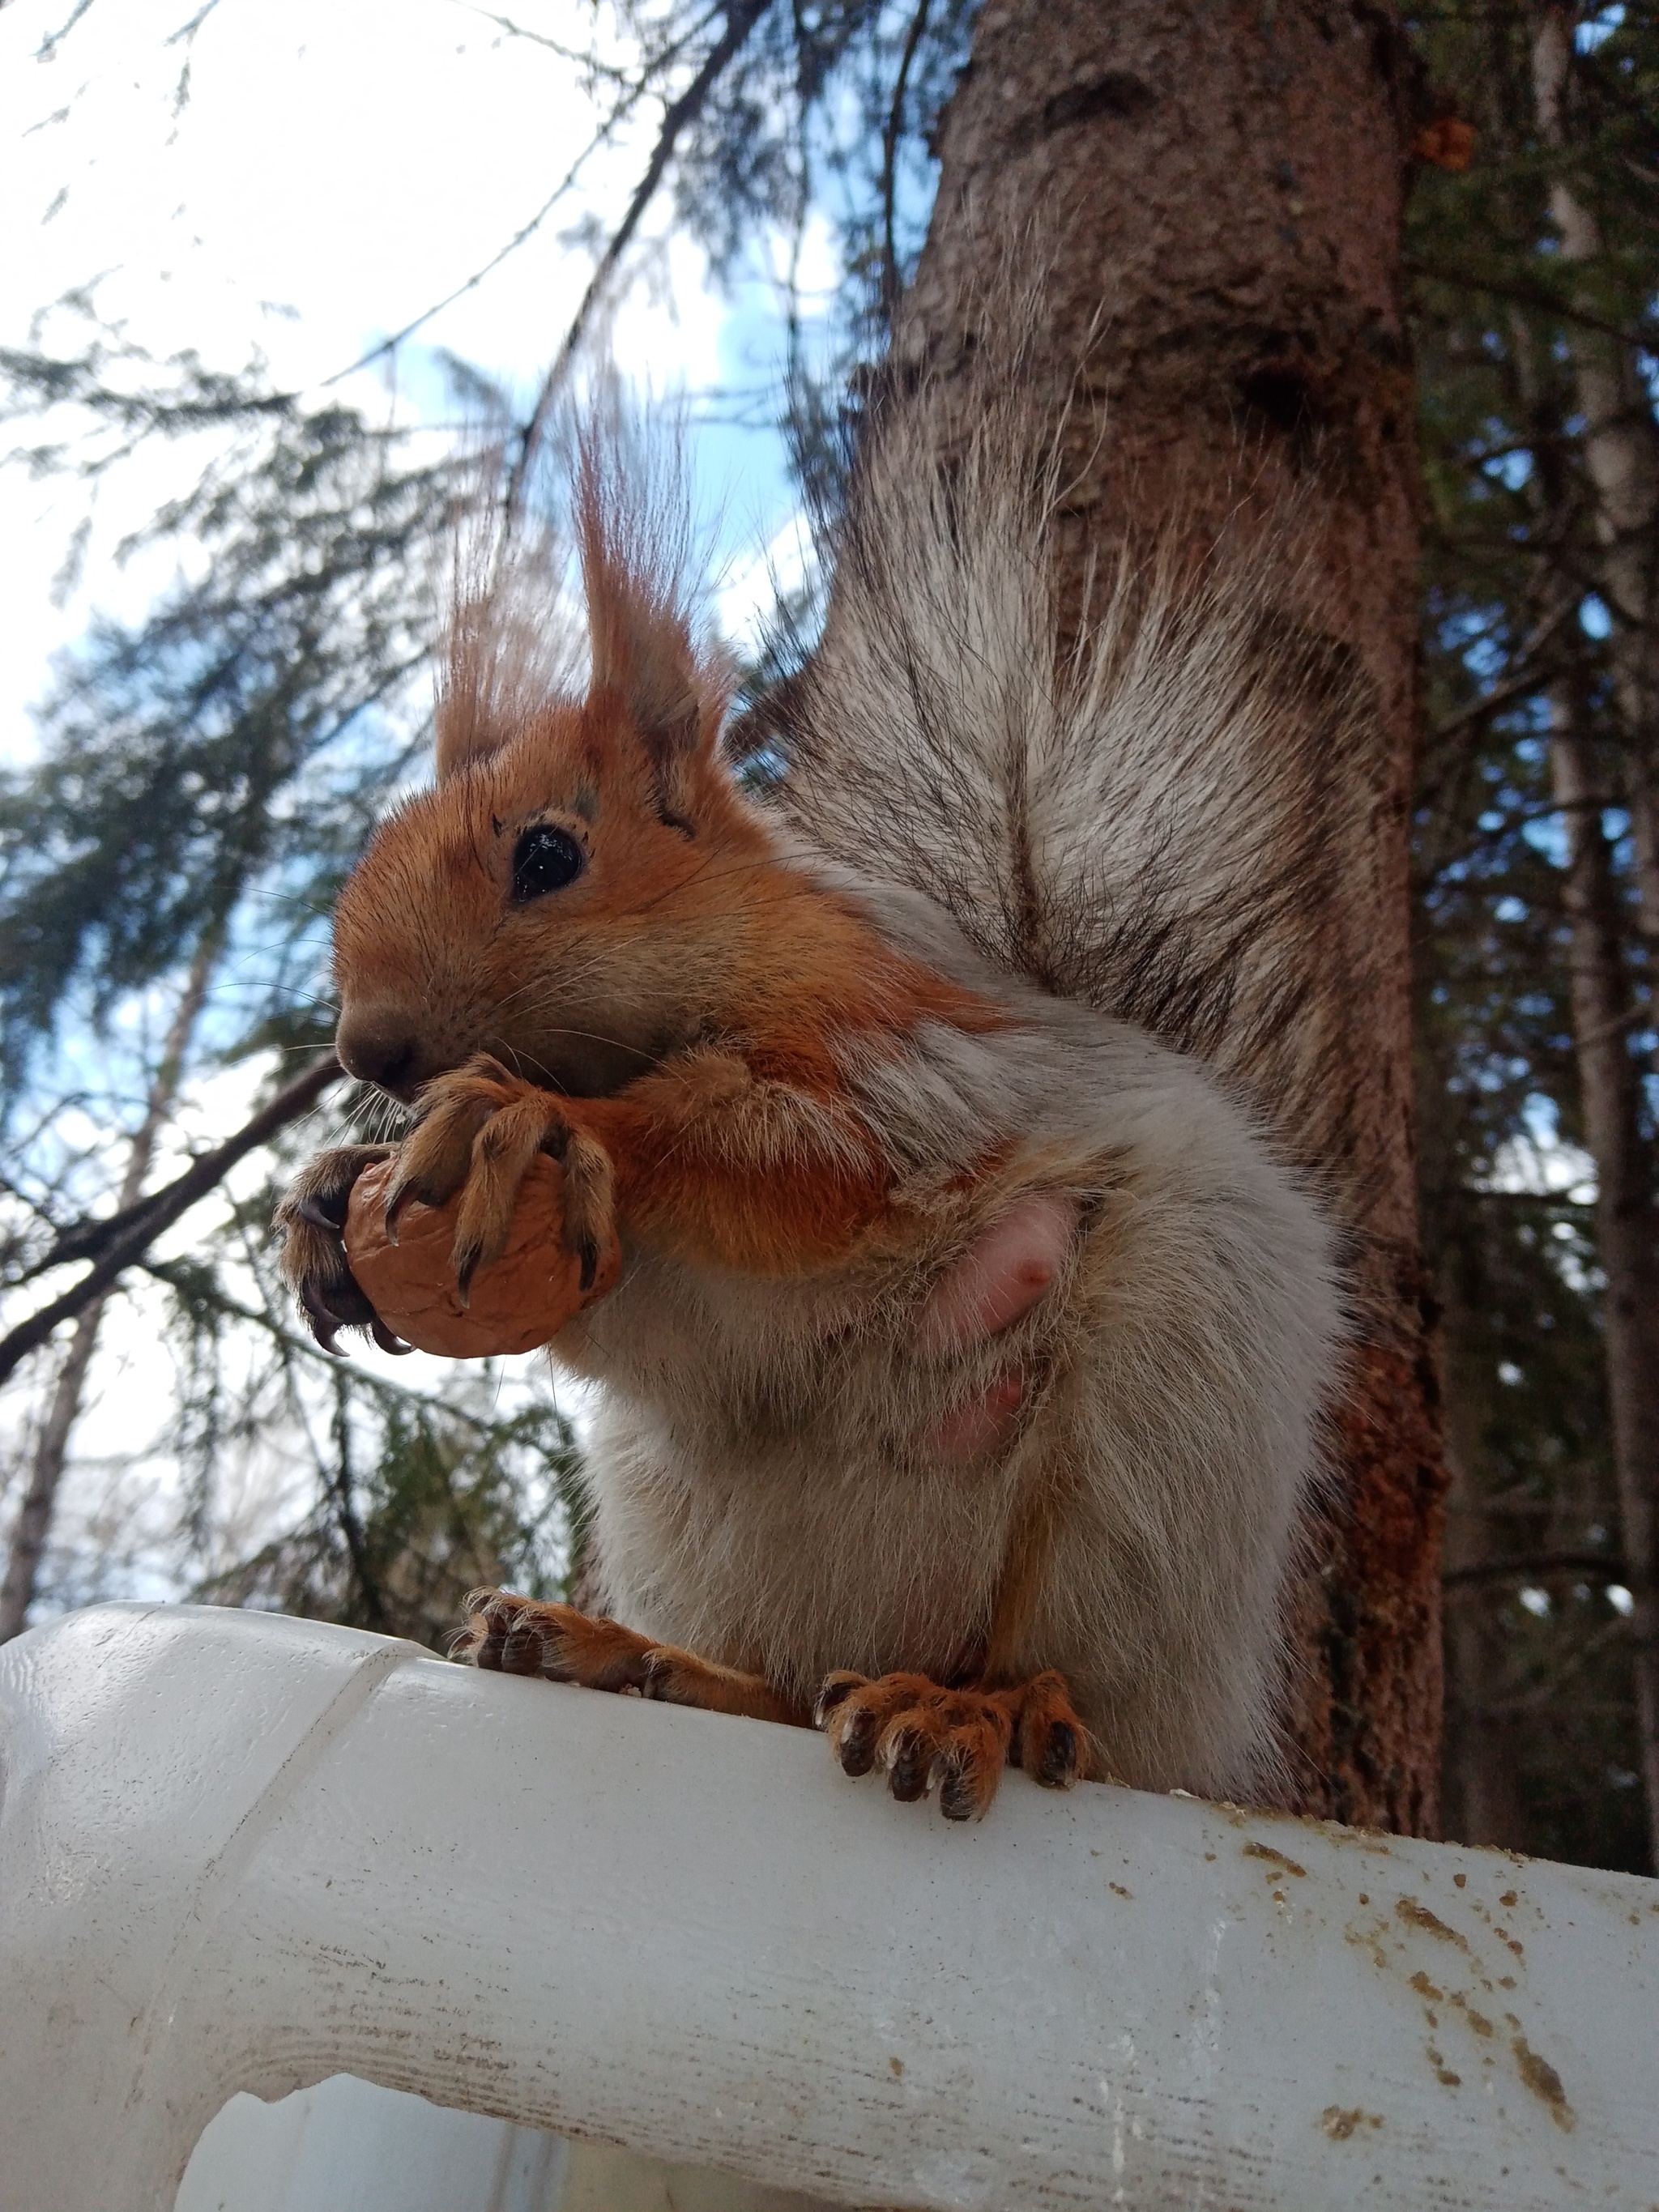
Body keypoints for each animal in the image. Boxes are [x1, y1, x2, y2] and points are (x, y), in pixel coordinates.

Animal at [283, 380, 1380, 1822]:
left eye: (549, 854)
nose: (368, 1047)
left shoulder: (908, 1061)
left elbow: (795, 1161)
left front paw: (547, 1123)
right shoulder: (663, 1304)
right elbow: (658, 1331)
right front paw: (322, 1202)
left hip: (1159, 1437)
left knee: (1060, 1674)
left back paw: (968, 1707)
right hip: (688, 1517)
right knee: (788, 1683)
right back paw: (620, 1652)